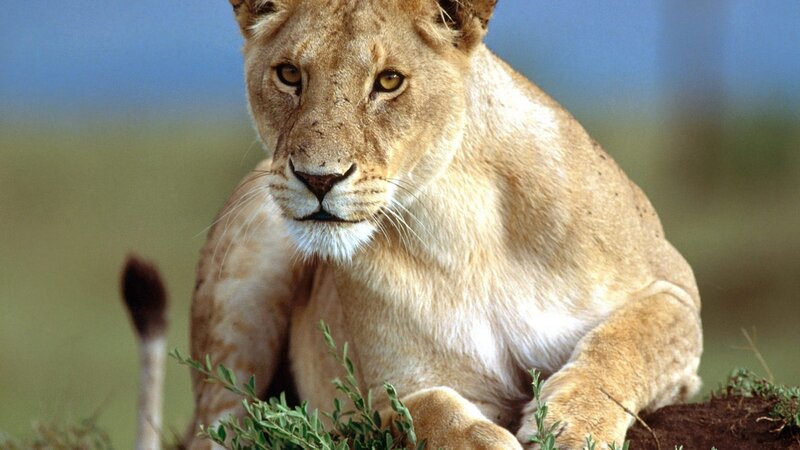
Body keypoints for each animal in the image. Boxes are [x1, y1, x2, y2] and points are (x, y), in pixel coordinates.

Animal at [161, 0, 703, 448]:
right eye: (289, 74)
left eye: (388, 81)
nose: (319, 179)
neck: (465, 221)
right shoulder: (396, 387)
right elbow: (427, 412)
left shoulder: (674, 289)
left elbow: (629, 343)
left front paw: (573, 424)